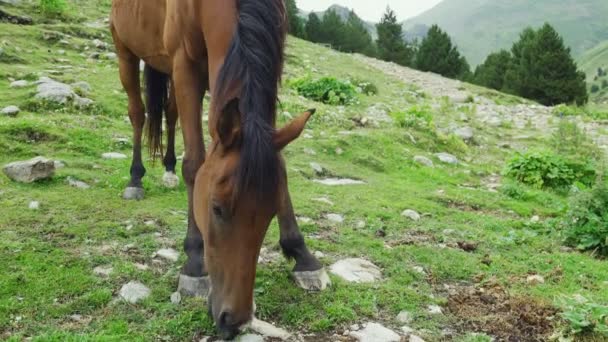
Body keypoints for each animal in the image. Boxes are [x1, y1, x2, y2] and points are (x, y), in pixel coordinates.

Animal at [109, 0, 328, 336]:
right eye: (216, 208)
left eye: (271, 212)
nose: (233, 321)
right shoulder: (184, 65)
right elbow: (195, 164)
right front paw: (194, 261)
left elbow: (278, 162)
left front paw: (303, 255)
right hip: (126, 50)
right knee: (138, 113)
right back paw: (135, 179)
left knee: (170, 112)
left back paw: (167, 168)